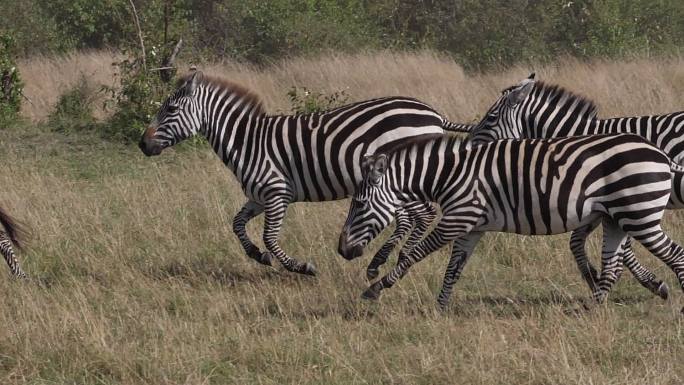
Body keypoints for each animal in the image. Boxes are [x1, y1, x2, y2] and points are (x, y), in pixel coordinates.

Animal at [136, 71, 472, 276]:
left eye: (170, 110)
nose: (142, 144)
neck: (247, 142)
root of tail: (434, 114)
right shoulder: (258, 197)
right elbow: (237, 224)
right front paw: (257, 255)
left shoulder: (276, 192)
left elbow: (270, 236)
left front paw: (300, 267)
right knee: (411, 218)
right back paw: (387, 260)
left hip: (405, 178)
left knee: (423, 215)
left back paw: (392, 259)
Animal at [338, 133, 684, 308]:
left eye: (359, 204)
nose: (342, 251)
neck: (449, 174)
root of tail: (661, 154)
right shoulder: (471, 226)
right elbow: (454, 267)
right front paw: (441, 306)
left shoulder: (458, 218)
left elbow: (413, 255)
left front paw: (376, 288)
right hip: (617, 218)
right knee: (612, 267)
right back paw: (591, 311)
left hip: (639, 215)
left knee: (676, 255)